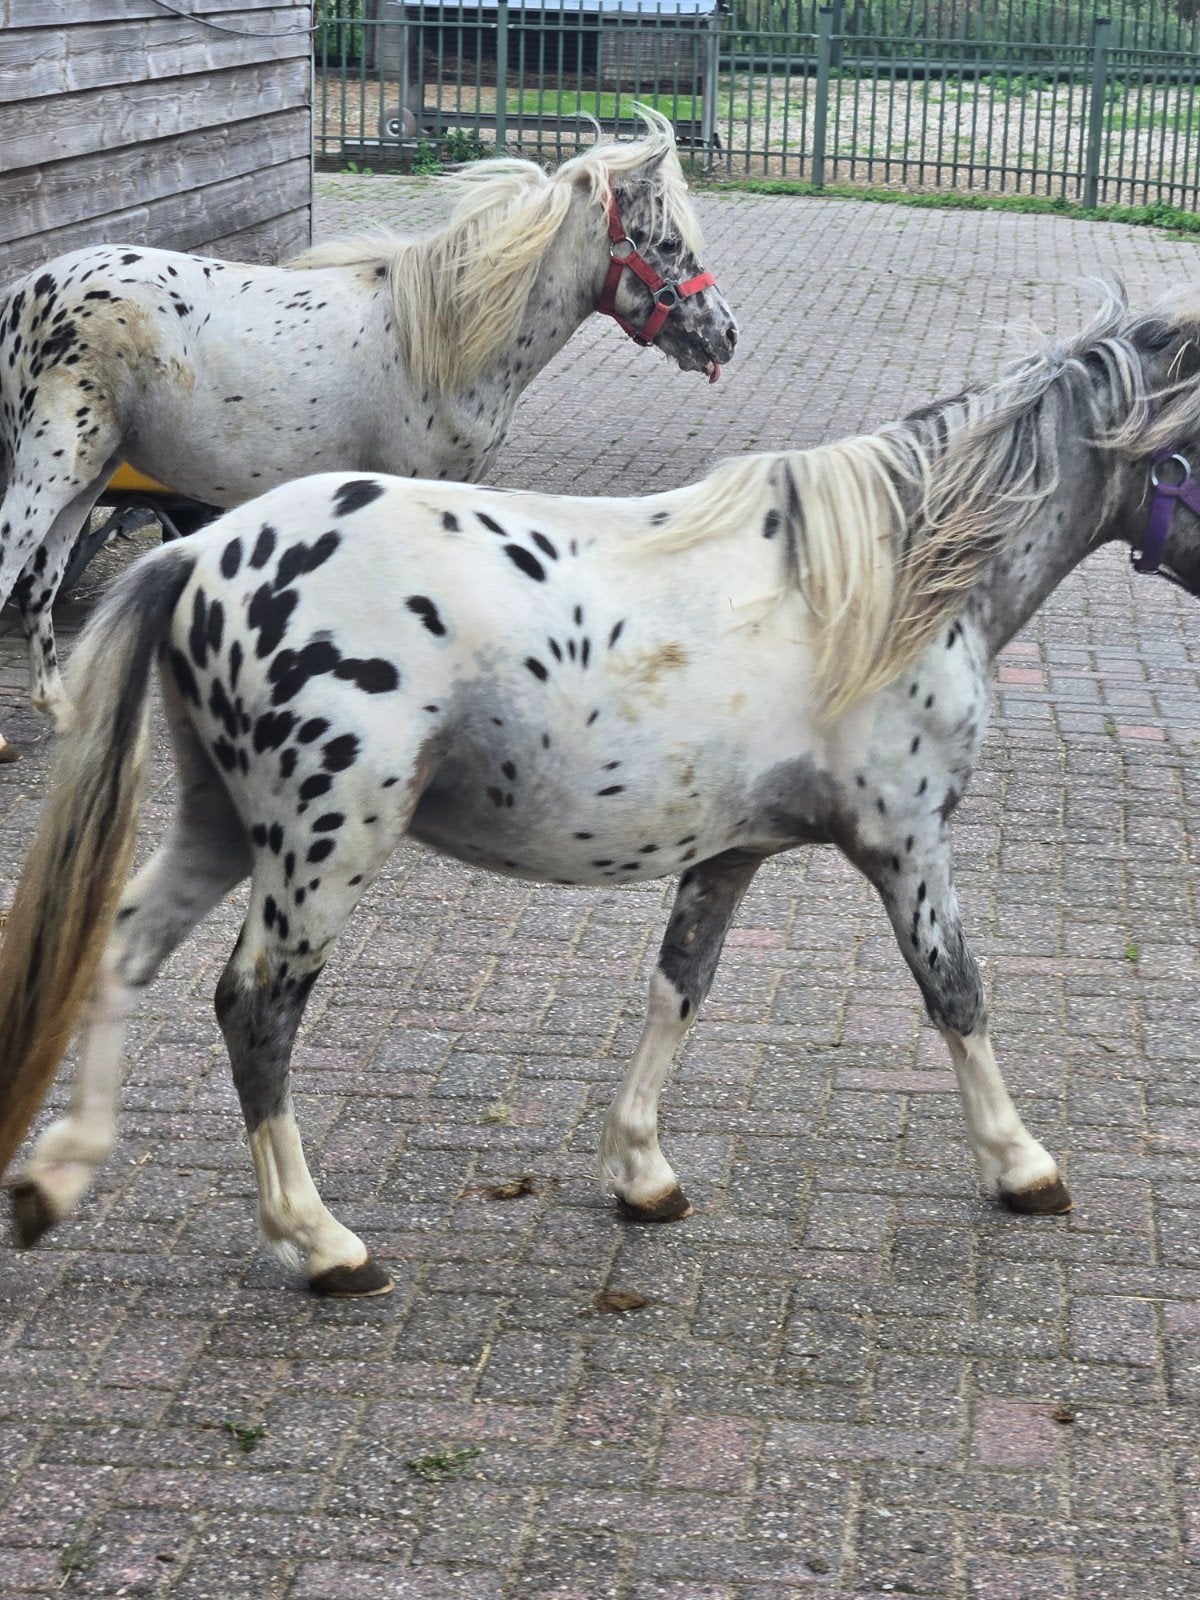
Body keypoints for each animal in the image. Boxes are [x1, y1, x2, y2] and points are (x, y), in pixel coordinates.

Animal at [0, 110, 736, 759]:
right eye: (668, 244)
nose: (725, 334)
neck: (437, 338)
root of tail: (24, 292)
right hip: (48, 472)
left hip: (88, 475)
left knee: (38, 585)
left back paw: (59, 710)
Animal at [2, 288, 1198, 1297]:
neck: (886, 578)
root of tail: (202, 551)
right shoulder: (905, 843)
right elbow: (957, 992)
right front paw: (1023, 1164)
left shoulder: (730, 853)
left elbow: (680, 989)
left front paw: (642, 1172)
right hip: (321, 846)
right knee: (256, 1007)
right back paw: (323, 1242)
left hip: (220, 824)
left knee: (119, 946)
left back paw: (55, 1178)